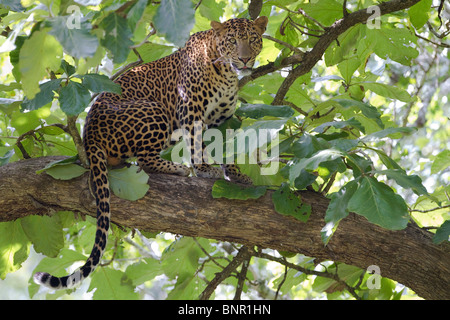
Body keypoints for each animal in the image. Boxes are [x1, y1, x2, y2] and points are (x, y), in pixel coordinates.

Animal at [35, 15, 268, 290]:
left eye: (252, 39)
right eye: (232, 41)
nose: (245, 59)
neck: (227, 74)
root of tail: (88, 133)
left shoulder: (222, 120)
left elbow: (227, 148)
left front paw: (235, 174)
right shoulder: (191, 110)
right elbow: (196, 144)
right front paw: (203, 169)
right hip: (154, 109)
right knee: (145, 160)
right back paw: (178, 169)